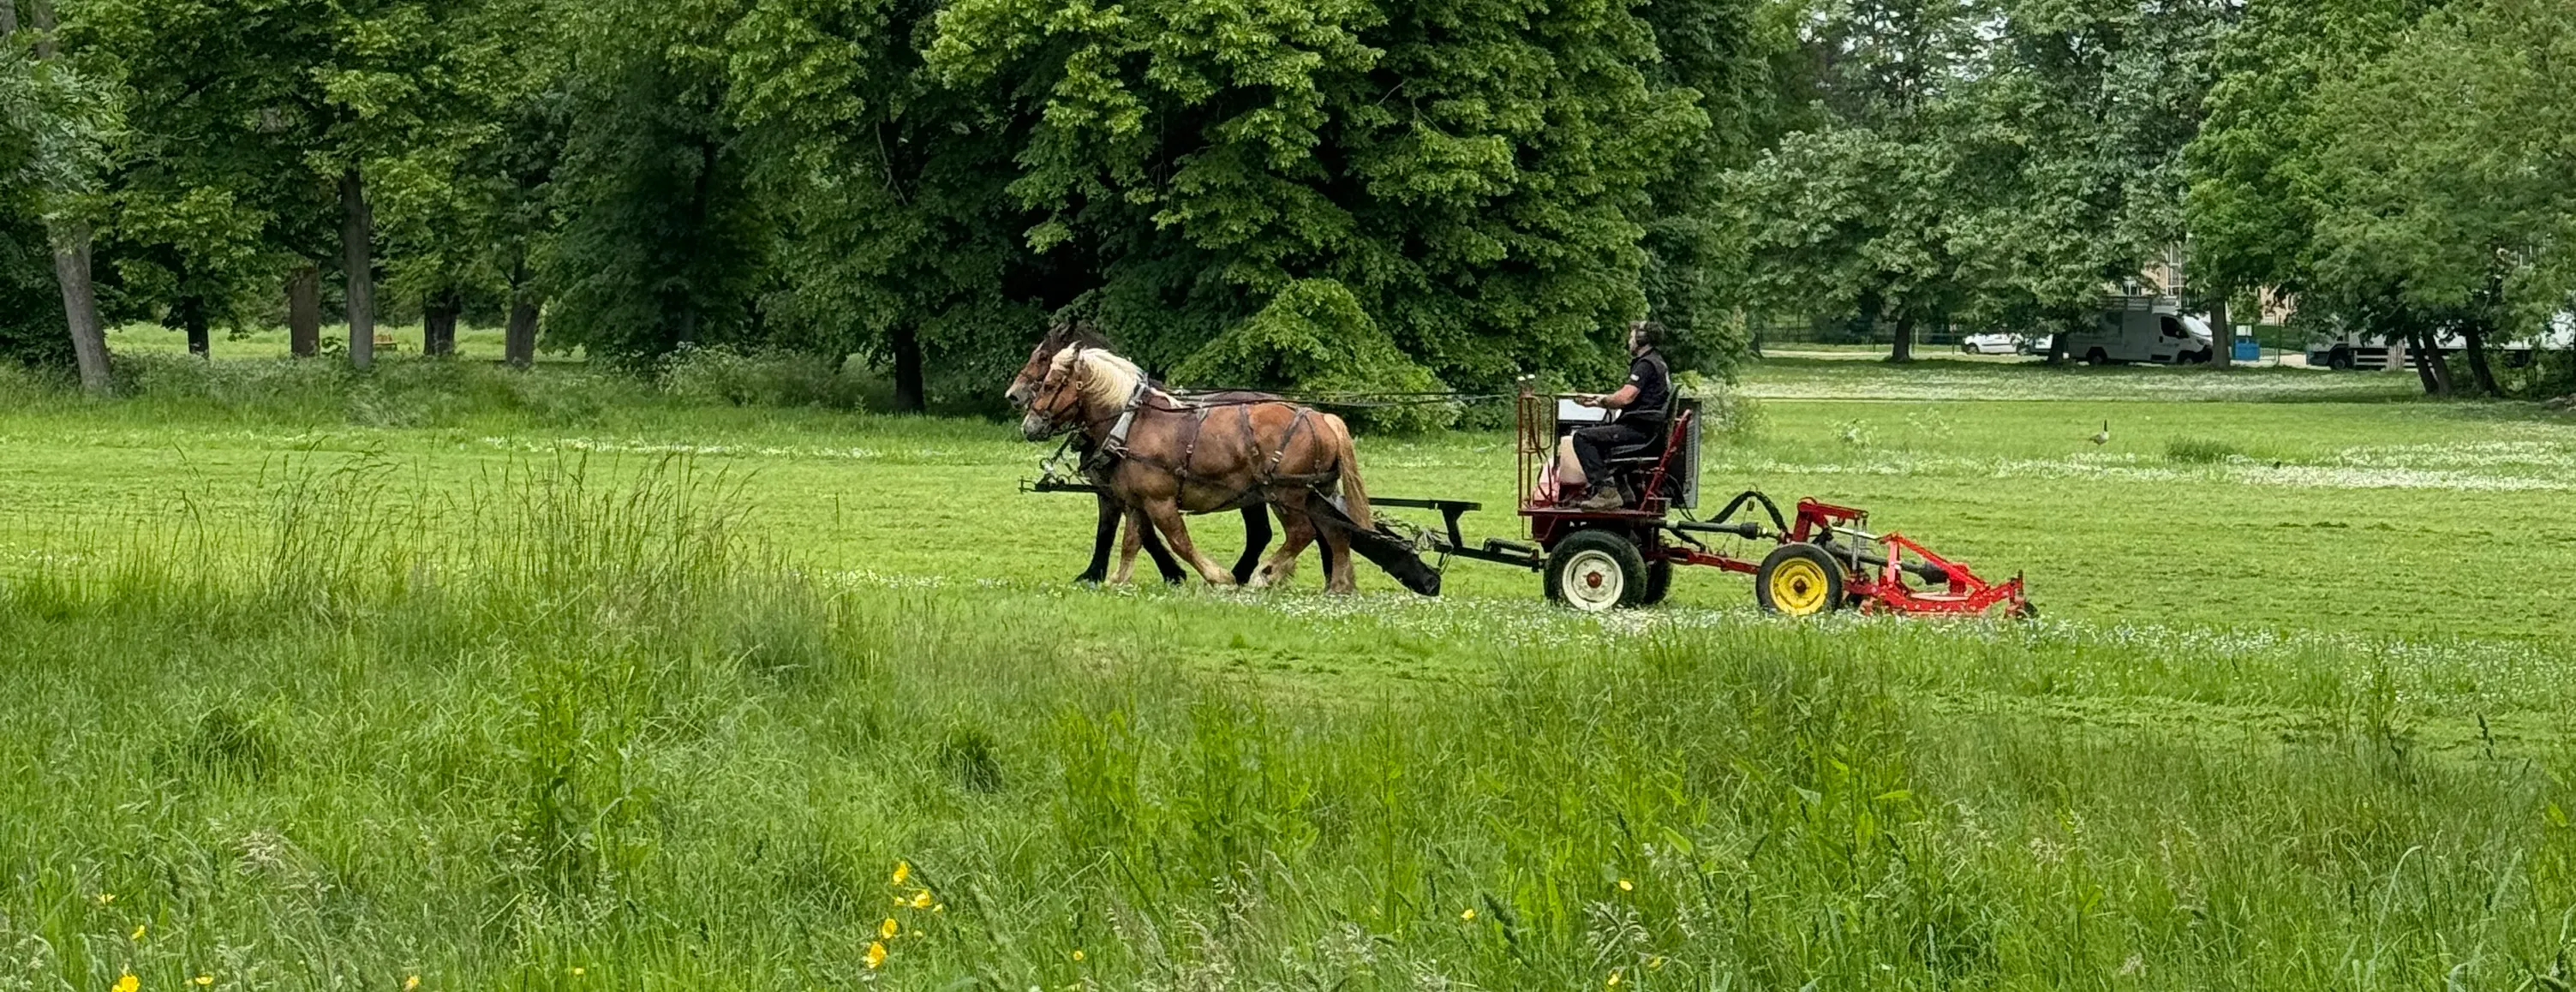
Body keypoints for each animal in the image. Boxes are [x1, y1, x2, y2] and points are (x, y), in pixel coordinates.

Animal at [1014, 345, 1380, 587]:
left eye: (1049, 383)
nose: (1028, 424)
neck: (1132, 422)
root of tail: (1322, 417)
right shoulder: (1135, 501)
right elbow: (1133, 540)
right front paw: (1117, 580)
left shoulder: (1158, 500)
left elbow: (1179, 540)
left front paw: (1217, 576)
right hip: (1317, 492)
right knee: (1335, 532)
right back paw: (1339, 586)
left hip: (1286, 493)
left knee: (1302, 533)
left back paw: (1264, 574)